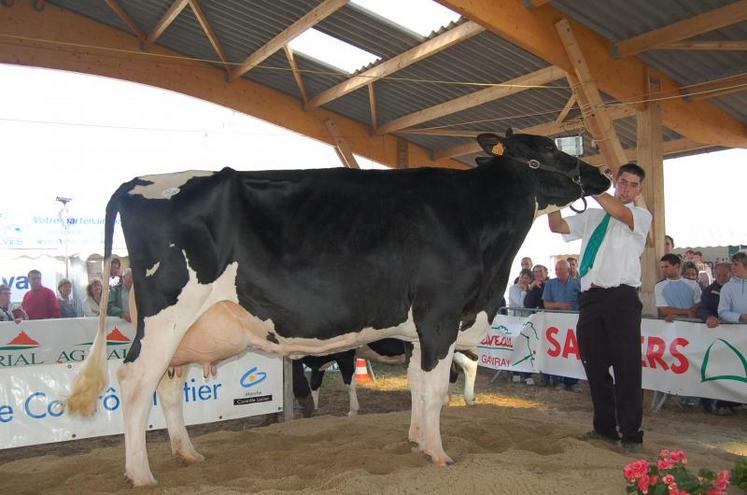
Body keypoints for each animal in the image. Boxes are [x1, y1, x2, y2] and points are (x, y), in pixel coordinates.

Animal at [67, 130, 612, 486]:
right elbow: (436, 389)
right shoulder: (439, 314)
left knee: (167, 385)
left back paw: (187, 454)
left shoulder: (420, 329)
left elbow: (417, 386)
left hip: (185, 328)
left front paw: (416, 441)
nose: (602, 175)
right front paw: (439, 454)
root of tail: (140, 181)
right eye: (548, 148)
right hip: (167, 314)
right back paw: (140, 473)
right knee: (135, 382)